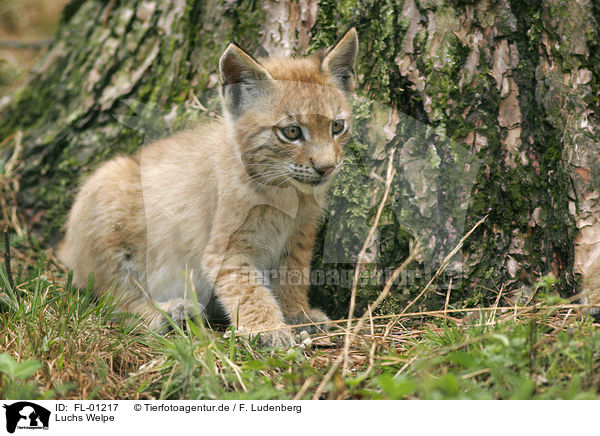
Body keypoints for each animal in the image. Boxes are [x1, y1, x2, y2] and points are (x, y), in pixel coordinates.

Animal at [58, 28, 358, 348]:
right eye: (291, 132)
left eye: (337, 127)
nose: (326, 168)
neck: (286, 191)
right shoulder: (225, 249)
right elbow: (247, 289)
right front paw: (269, 329)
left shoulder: (299, 236)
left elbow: (293, 275)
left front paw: (296, 314)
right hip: (108, 198)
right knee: (110, 299)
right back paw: (167, 313)